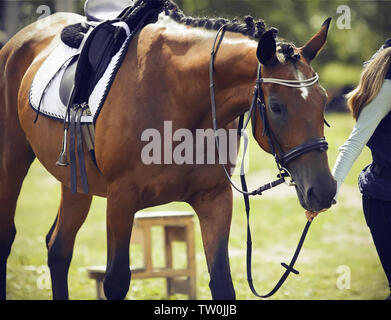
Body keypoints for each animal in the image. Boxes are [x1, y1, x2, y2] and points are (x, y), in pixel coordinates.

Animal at [0, 5, 336, 300]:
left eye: (323, 100)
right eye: (277, 106)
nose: (323, 190)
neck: (180, 94)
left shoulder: (214, 198)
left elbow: (222, 283)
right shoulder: (121, 199)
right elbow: (116, 282)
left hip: (75, 182)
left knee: (58, 248)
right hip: (12, 160)